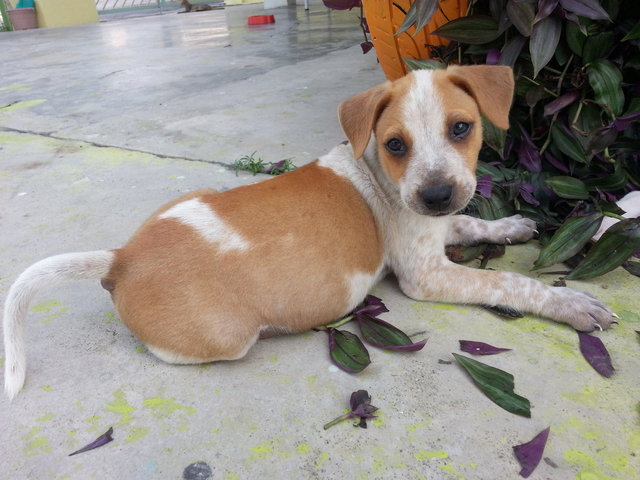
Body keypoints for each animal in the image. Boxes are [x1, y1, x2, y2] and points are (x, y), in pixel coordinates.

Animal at [1, 65, 616, 400]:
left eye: (461, 128)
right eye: (395, 144)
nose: (437, 195)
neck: (381, 178)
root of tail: (120, 257)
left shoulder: (438, 228)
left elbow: (469, 221)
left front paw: (509, 224)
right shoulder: (426, 275)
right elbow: (513, 284)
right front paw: (572, 303)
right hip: (226, 337)